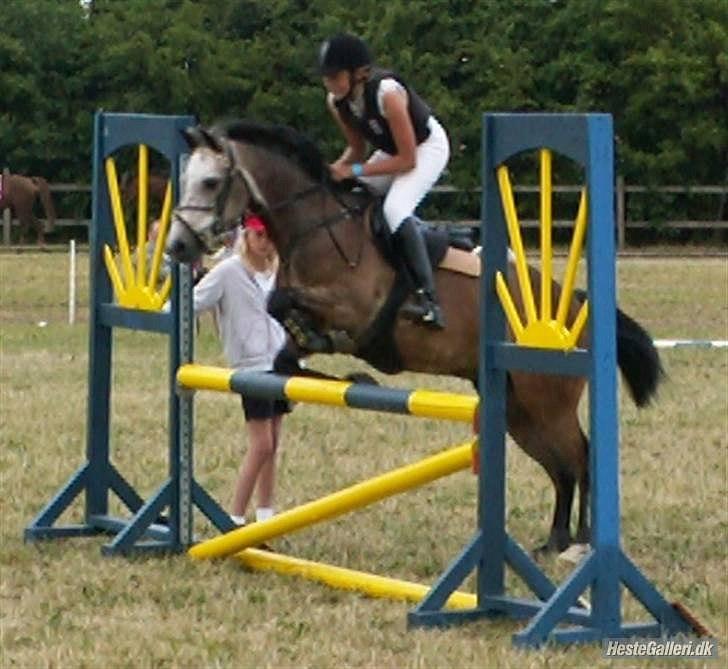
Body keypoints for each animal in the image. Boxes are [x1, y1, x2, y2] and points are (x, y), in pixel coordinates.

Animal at [165, 120, 663, 553]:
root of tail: (575, 305)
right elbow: (285, 350)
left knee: (581, 457)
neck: (317, 228)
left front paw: (345, 357)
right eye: (185, 179)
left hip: (547, 402)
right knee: (561, 468)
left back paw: (581, 543)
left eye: (210, 182)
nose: (177, 247)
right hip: (519, 411)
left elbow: (282, 302)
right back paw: (555, 539)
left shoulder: (356, 306)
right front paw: (353, 376)